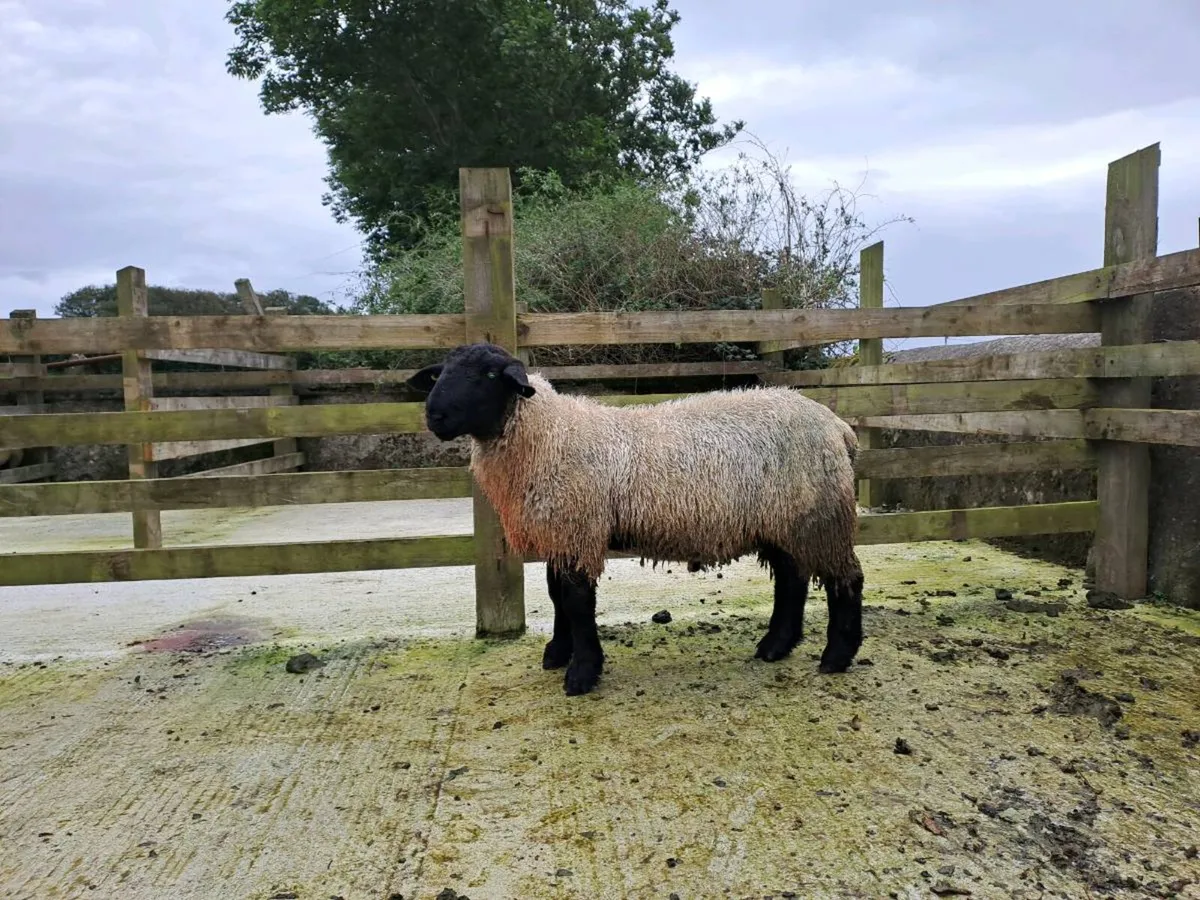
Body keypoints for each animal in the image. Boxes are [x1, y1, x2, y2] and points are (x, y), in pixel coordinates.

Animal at [407, 341, 865, 696]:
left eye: (488, 374)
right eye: (439, 374)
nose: (435, 416)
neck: (548, 433)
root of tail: (837, 425)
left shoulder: (579, 528)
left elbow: (577, 602)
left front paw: (582, 672)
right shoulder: (564, 532)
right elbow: (557, 596)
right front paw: (558, 653)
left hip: (821, 517)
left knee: (846, 579)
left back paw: (836, 656)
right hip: (785, 520)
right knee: (792, 579)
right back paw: (775, 647)